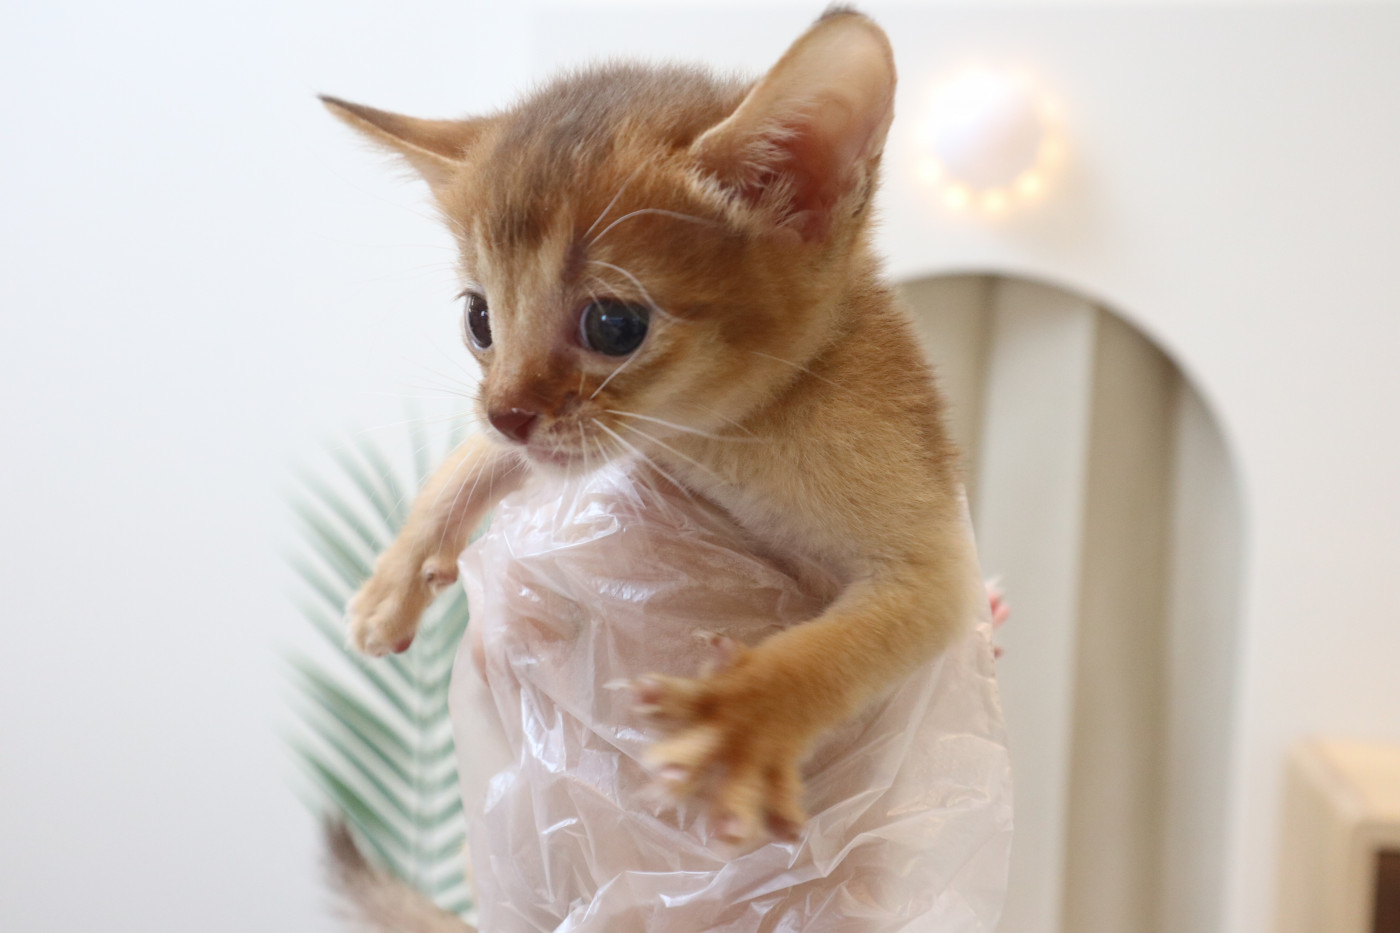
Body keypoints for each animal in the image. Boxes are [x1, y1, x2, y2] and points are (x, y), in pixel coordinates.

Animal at [324, 3, 977, 897]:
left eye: (614, 324)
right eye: (478, 319)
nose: (505, 411)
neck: (729, 440)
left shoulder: (939, 559)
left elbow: (849, 642)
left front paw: (743, 721)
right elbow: (477, 461)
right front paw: (397, 573)